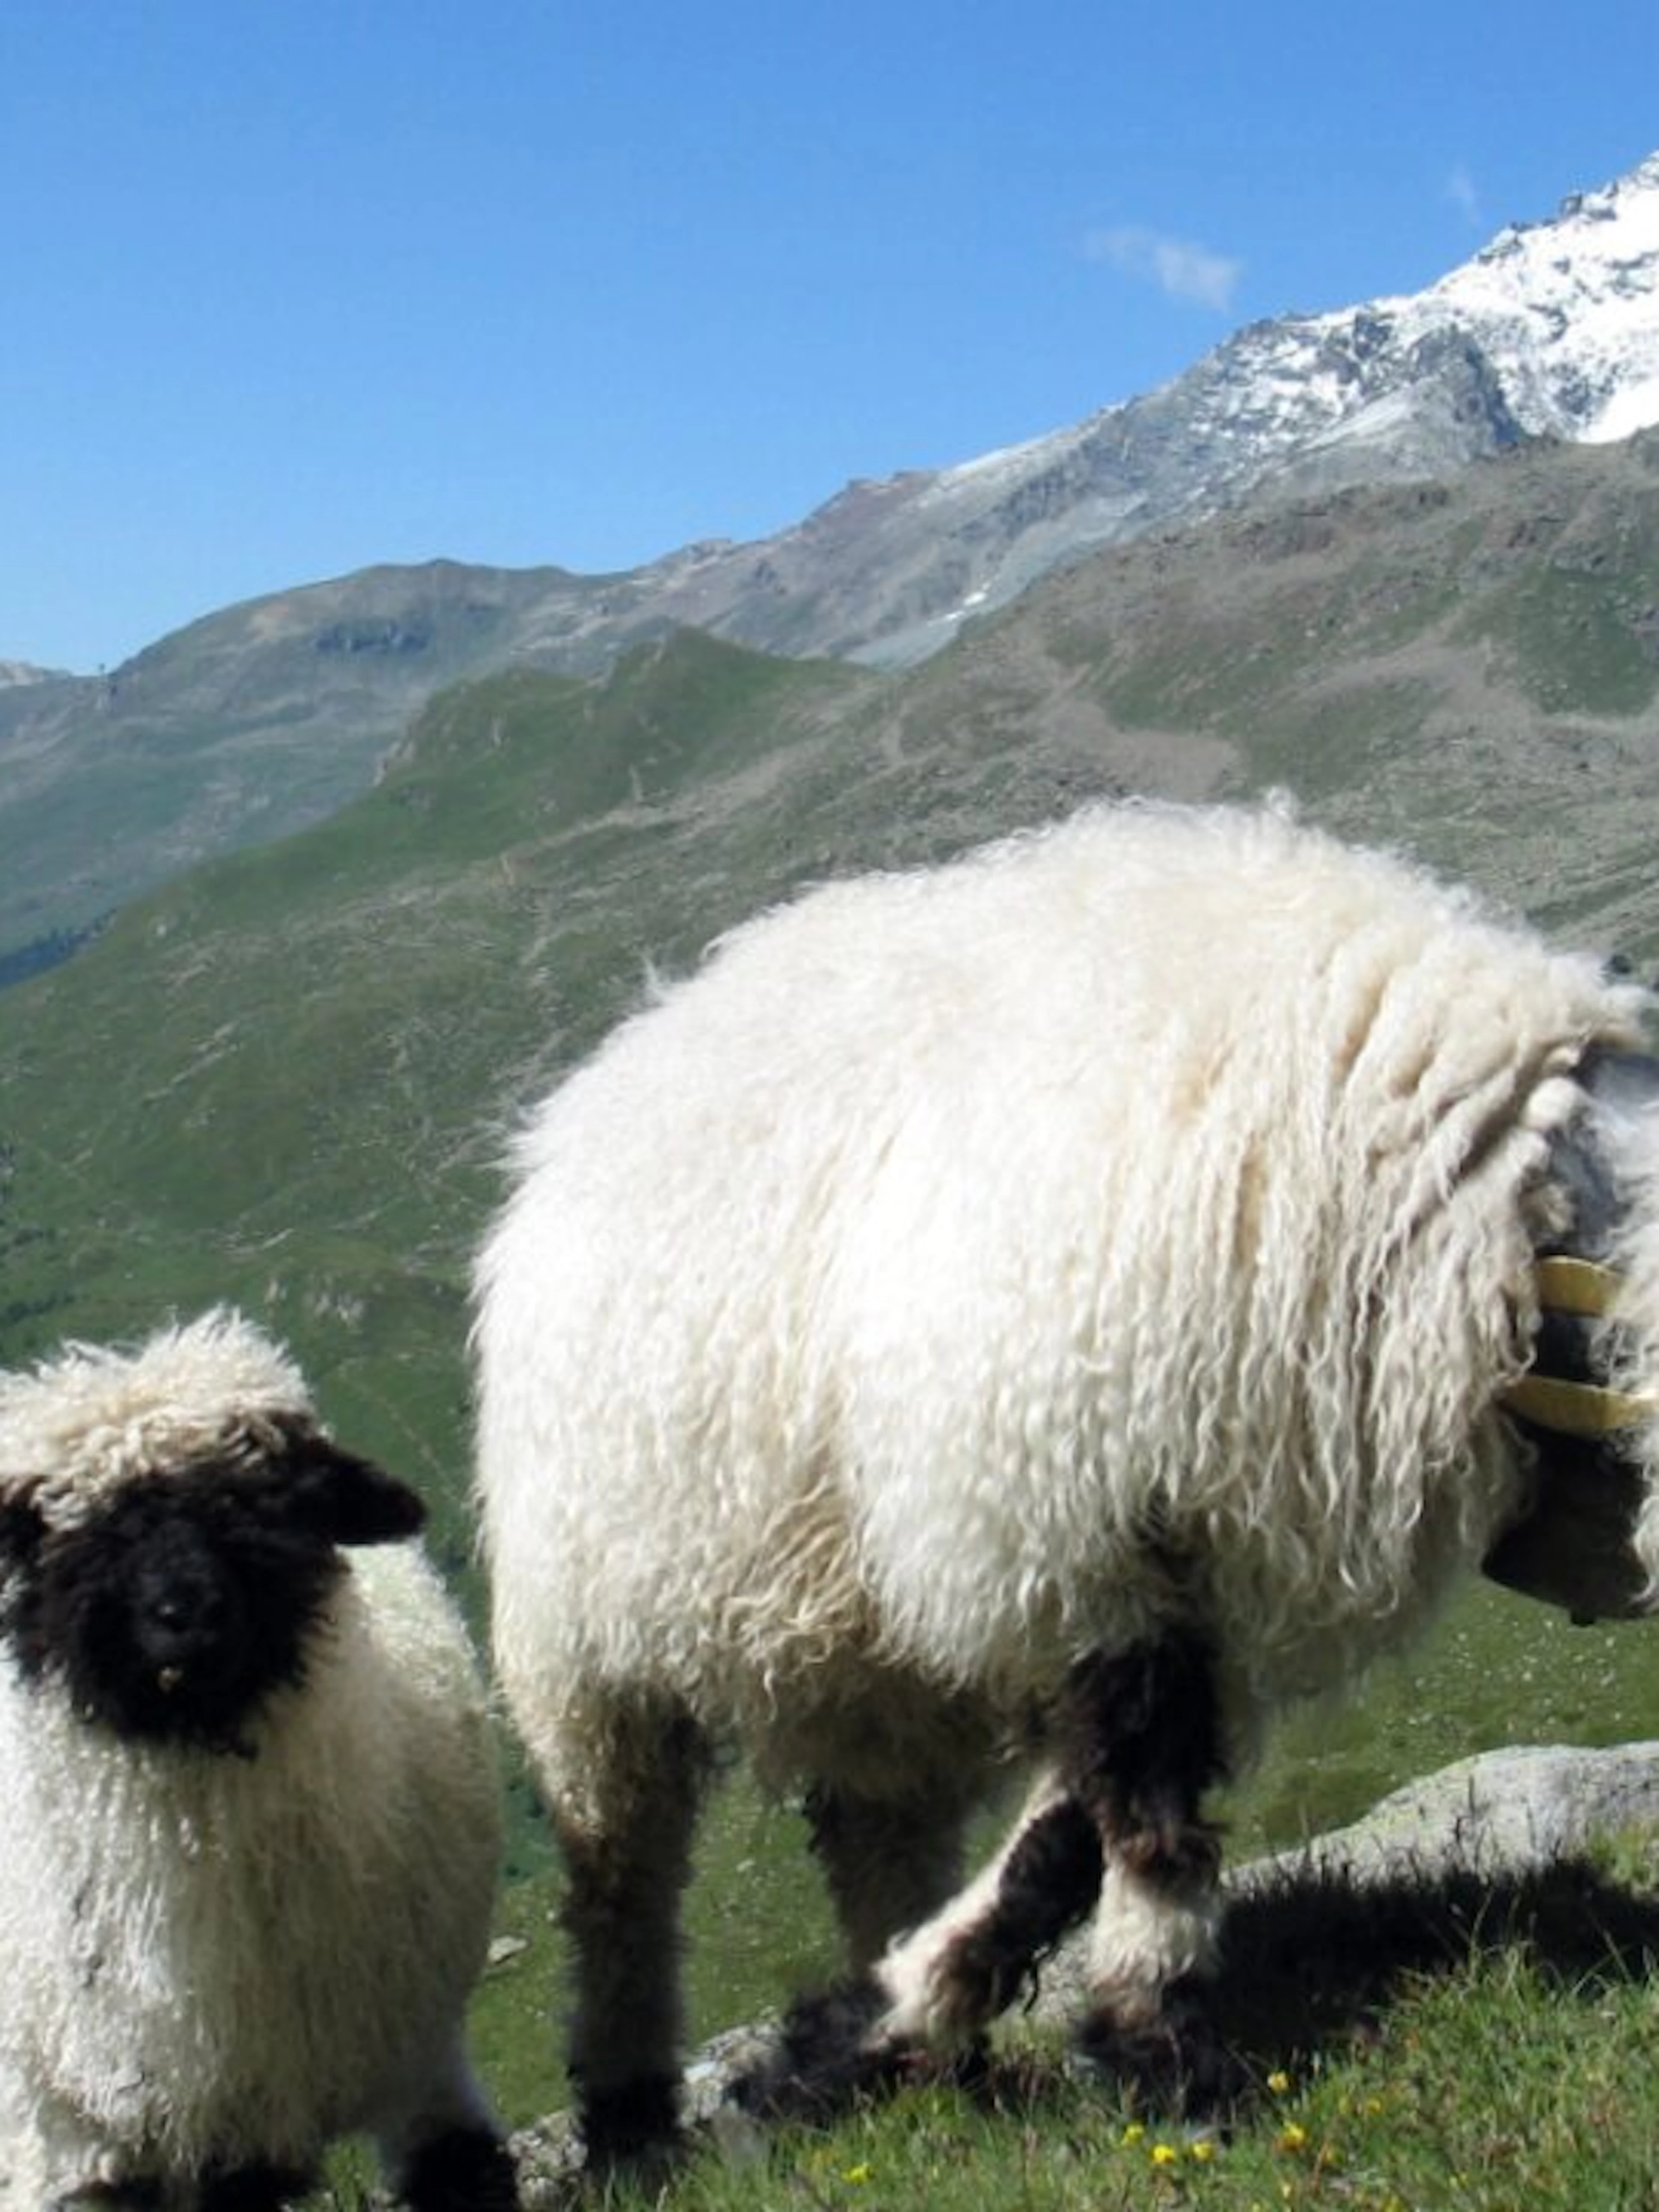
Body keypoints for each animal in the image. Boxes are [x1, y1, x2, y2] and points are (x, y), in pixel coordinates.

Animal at [471, 798, 1659, 2154]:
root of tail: (612, 1070)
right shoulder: (1082, 1533)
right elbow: (1134, 1816)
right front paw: (1167, 2062)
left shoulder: (1173, 1561)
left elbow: (1072, 1839)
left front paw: (879, 2026)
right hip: (586, 1654)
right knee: (620, 1882)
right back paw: (629, 2117)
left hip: (873, 1665)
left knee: (878, 1841)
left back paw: (927, 2066)